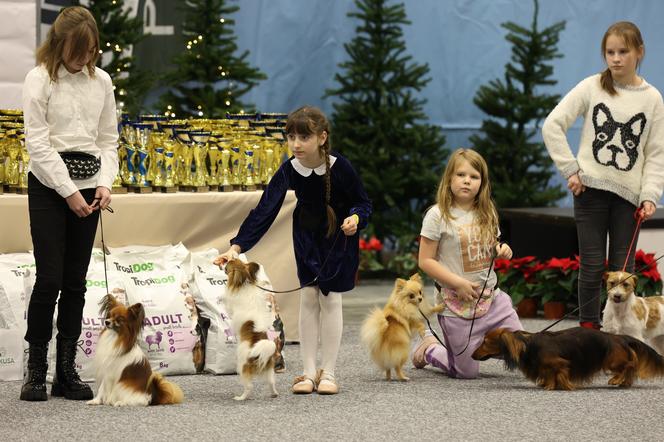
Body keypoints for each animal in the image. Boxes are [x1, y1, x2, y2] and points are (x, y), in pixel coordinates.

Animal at [222, 258, 276, 400]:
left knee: (249, 387)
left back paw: (240, 398)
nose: (224, 263)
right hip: (269, 369)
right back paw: (274, 393)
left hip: (242, 366)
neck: (245, 282)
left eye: (228, 265)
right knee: (271, 382)